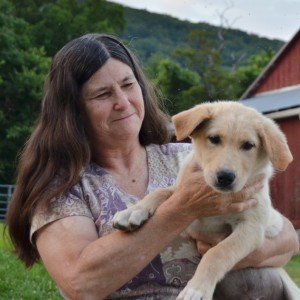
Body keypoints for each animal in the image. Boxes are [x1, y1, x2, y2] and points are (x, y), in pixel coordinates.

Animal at [113, 101, 300, 300]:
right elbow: (161, 192)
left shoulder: (252, 227)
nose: (225, 177)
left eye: (248, 145)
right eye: (214, 139)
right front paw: (132, 211)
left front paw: (197, 289)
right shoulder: (184, 197)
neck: (218, 195)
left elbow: (218, 252)